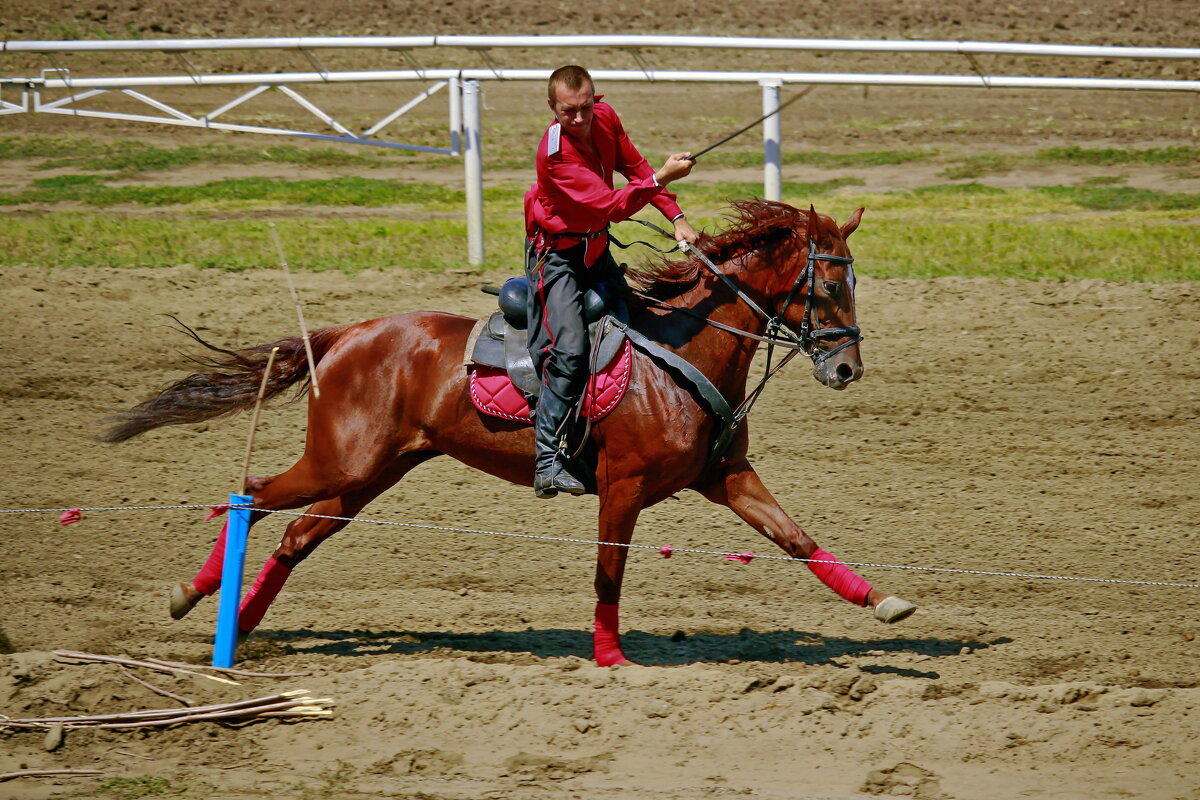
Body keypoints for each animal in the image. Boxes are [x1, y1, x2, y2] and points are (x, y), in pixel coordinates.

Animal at [108, 199, 912, 662]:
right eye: (830, 283)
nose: (848, 367)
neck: (681, 348)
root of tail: (345, 336)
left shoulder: (726, 477)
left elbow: (795, 539)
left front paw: (883, 601)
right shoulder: (621, 486)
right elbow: (610, 571)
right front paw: (611, 658)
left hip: (366, 477)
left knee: (293, 538)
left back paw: (236, 623)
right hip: (341, 463)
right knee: (250, 493)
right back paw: (194, 598)